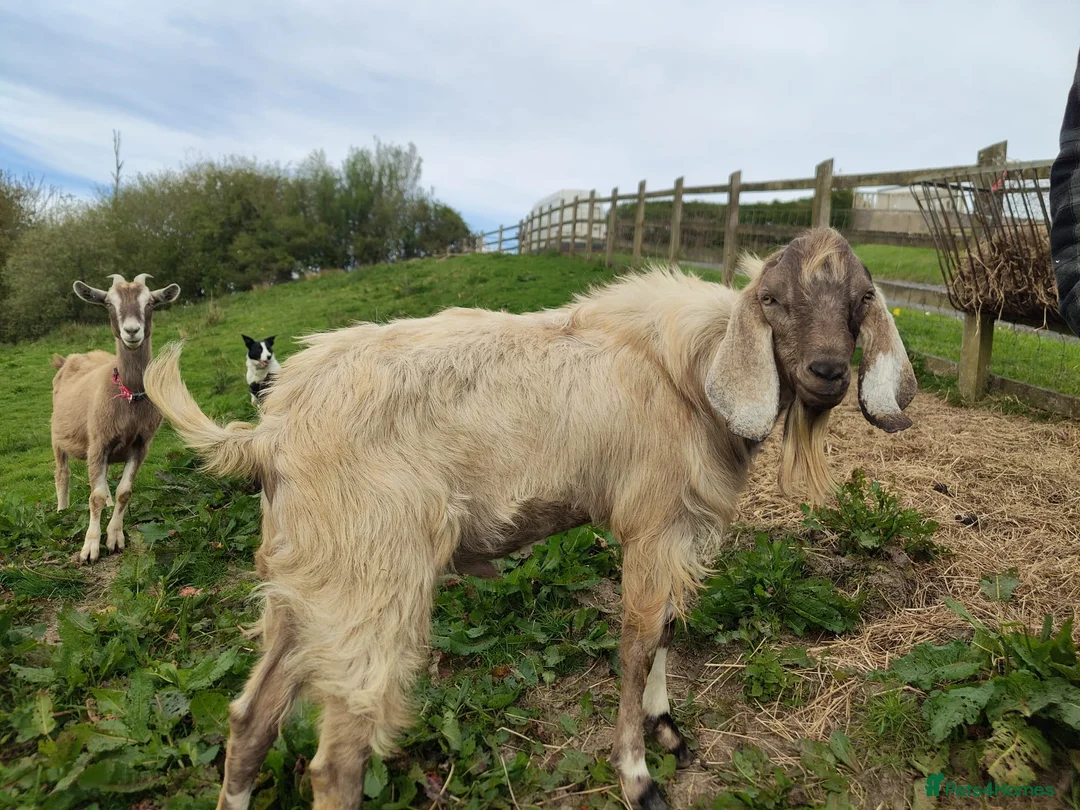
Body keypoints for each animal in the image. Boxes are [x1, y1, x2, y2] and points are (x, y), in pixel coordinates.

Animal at [51, 273, 181, 564]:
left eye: (150, 302)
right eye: (109, 303)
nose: (132, 331)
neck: (128, 396)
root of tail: (69, 359)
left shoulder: (140, 445)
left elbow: (124, 492)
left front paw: (114, 537)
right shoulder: (97, 443)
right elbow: (95, 497)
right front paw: (90, 547)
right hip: (57, 436)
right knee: (62, 473)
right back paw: (62, 510)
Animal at [144, 228, 916, 810]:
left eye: (859, 300)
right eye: (774, 300)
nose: (827, 373)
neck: (691, 374)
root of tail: (271, 431)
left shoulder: (676, 530)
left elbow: (667, 629)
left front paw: (667, 729)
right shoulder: (653, 522)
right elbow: (637, 643)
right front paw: (638, 778)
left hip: (306, 582)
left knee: (250, 718)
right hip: (371, 580)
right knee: (336, 764)